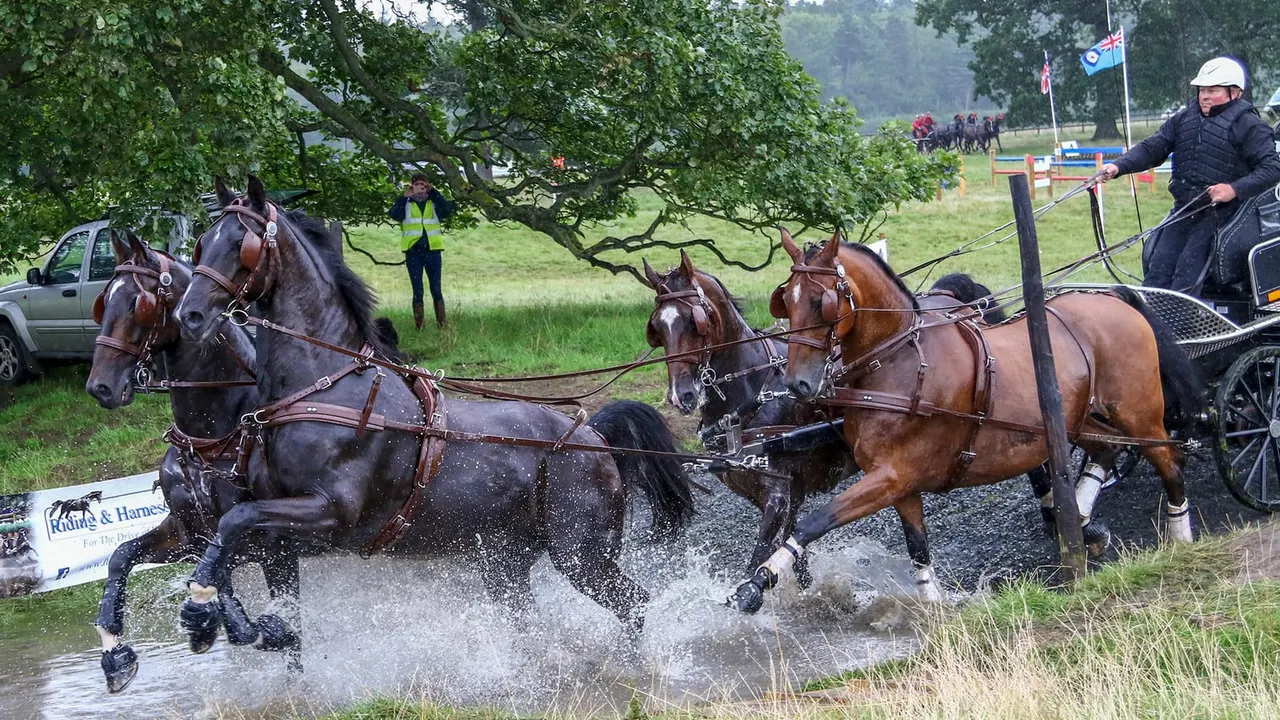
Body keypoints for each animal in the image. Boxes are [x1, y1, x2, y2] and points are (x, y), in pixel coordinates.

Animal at [85, 230, 298, 693]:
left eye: (139, 303)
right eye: (102, 302)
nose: (100, 387)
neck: (210, 439)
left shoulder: (270, 543)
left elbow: (223, 579)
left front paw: (235, 626)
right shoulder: (188, 535)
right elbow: (121, 555)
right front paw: (115, 653)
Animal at [174, 176, 696, 657]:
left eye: (241, 244)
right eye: (202, 242)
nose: (190, 315)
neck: (326, 386)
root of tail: (595, 436)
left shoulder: (332, 515)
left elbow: (234, 521)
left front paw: (205, 610)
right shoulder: (290, 531)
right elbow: (232, 538)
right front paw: (228, 617)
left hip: (582, 555)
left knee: (634, 604)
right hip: (504, 562)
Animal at [641, 251, 857, 586]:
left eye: (694, 321)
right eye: (657, 328)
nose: (681, 395)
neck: (753, 390)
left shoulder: (777, 497)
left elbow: (758, 561)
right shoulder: (779, 495)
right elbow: (793, 558)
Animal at [727, 229, 1204, 612]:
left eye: (821, 301)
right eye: (785, 301)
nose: (798, 384)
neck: (898, 363)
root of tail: (1114, 298)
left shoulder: (891, 475)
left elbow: (812, 522)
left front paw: (756, 585)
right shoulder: (898, 483)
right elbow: (917, 546)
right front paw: (932, 603)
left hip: (1140, 416)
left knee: (1170, 462)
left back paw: (1180, 538)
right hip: (1076, 420)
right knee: (1107, 449)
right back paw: (1083, 523)